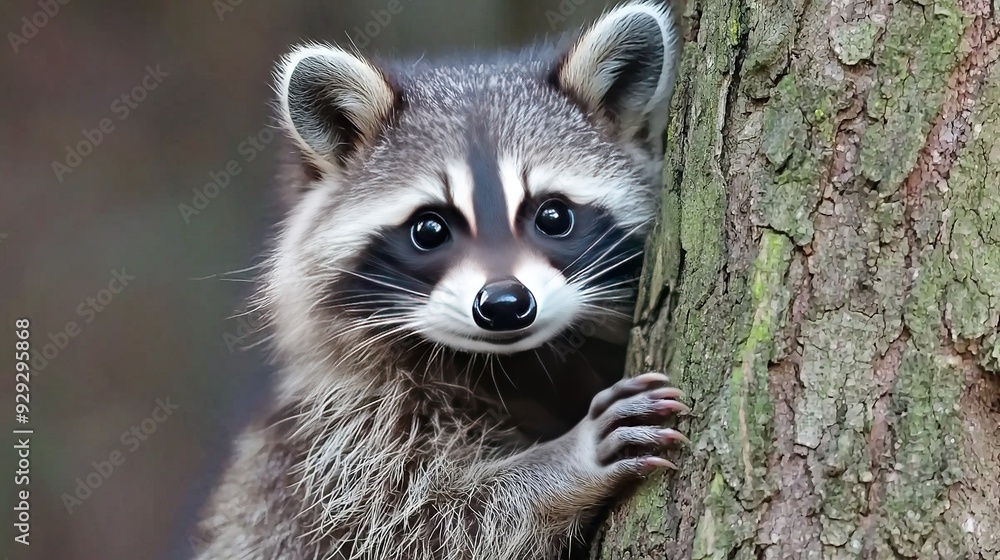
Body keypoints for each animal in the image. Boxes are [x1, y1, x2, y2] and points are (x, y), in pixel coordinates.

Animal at [194, 2, 687, 559]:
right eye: (429, 229)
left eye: (554, 216)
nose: (504, 303)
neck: (513, 363)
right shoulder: (337, 439)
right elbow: (419, 524)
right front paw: (564, 465)